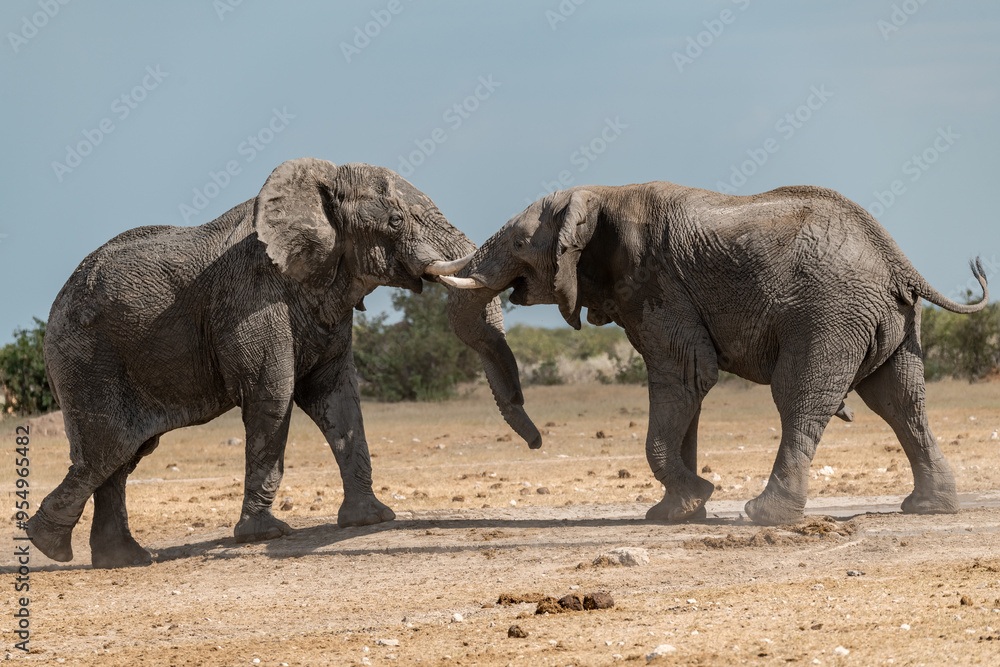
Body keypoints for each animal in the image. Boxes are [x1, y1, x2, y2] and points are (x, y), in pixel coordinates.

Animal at [26, 157, 539, 568]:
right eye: (395, 221)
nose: (535, 444)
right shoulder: (251, 296)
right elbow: (272, 395)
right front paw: (265, 535)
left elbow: (338, 397)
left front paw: (370, 520)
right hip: (84, 357)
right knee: (109, 448)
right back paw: (48, 545)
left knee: (127, 453)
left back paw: (123, 560)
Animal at [442, 182, 989, 526]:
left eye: (519, 242)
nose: (536, 443)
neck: (603, 194)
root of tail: (897, 259)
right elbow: (689, 393)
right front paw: (677, 512)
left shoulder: (658, 286)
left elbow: (685, 377)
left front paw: (696, 498)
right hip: (892, 320)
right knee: (899, 400)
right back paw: (927, 508)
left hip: (830, 314)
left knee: (799, 397)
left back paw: (763, 516)